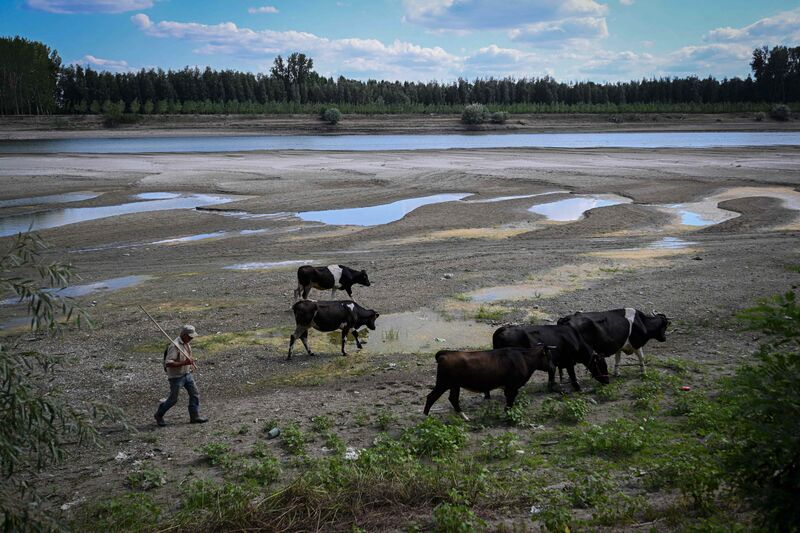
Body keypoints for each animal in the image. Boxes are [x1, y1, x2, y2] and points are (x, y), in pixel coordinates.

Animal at [422, 344, 552, 420]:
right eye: (549, 356)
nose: (552, 367)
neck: (523, 358)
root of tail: (446, 352)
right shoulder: (512, 386)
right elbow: (510, 402)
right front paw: (508, 415)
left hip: (454, 385)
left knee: (453, 399)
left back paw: (465, 417)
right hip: (443, 383)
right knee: (431, 397)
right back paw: (425, 417)